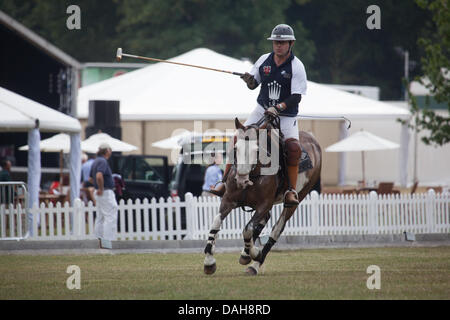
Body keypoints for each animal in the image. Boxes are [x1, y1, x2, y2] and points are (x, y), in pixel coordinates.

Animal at [202, 116, 322, 276]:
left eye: (257, 150)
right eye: (235, 148)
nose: (241, 180)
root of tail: (313, 140)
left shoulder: (263, 204)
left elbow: (248, 229)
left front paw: (254, 253)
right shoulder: (228, 200)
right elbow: (216, 222)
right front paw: (209, 262)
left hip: (297, 197)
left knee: (276, 229)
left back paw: (254, 264)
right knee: (264, 221)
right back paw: (246, 255)